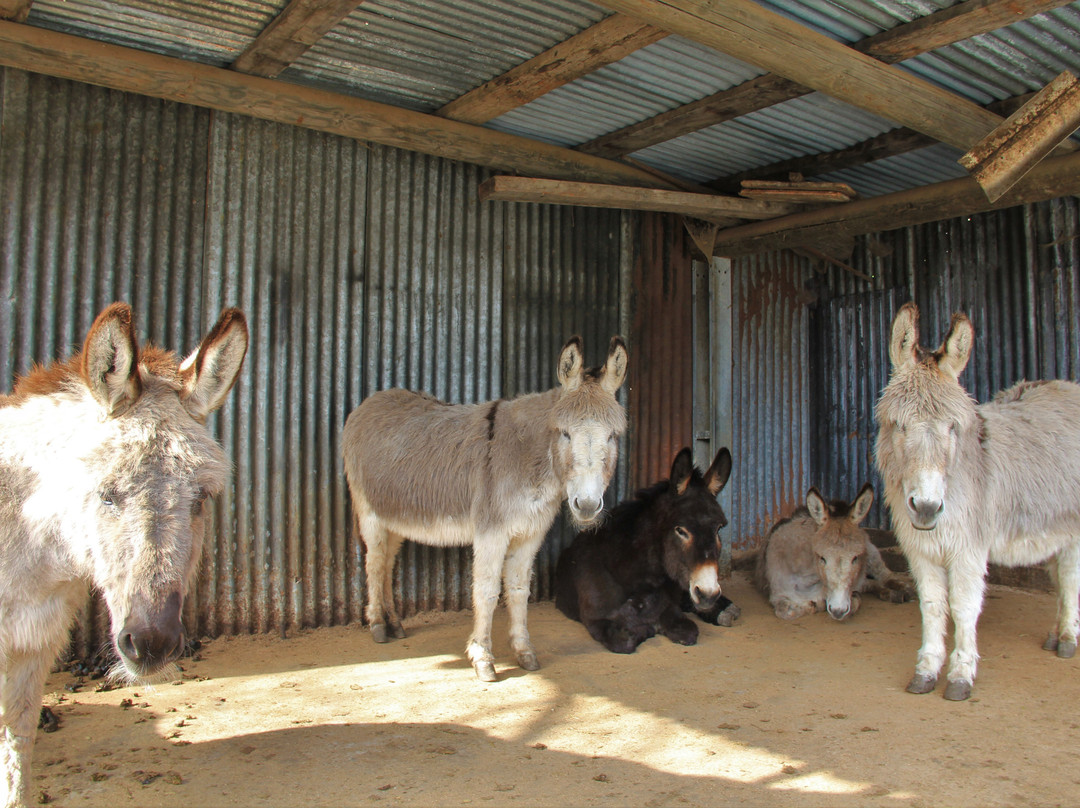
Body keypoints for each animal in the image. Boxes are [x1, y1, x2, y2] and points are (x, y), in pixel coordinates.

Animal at [342, 336, 628, 682]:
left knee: (387, 561)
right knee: (373, 562)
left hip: (395, 517)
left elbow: (518, 590)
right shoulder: (492, 532)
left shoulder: (530, 534)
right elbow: (487, 591)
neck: (530, 457)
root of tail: (370, 402)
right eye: (565, 433)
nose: (586, 505)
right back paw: (377, 625)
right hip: (369, 512)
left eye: (612, 437)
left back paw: (395, 623)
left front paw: (524, 651)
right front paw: (482, 658)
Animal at [554, 446, 740, 654]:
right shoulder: (596, 620)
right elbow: (625, 639)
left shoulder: (672, 609)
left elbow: (687, 630)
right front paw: (645, 627)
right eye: (681, 530)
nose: (708, 594)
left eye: (719, 528)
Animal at [754, 484, 914, 621]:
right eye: (822, 558)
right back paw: (891, 594)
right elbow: (788, 612)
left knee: (885, 575)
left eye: (855, 558)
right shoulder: (778, 595)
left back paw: (903, 589)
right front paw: (814, 605)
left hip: (872, 554)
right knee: (870, 583)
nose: (838, 611)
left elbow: (853, 603)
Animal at [875, 302, 1080, 700]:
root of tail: (1066, 386)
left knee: (1071, 576)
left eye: (953, 427)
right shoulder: (920, 550)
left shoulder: (969, 548)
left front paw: (960, 675)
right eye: (899, 425)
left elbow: (964, 606)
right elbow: (932, 606)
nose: (926, 507)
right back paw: (1055, 635)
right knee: (1060, 574)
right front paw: (926, 671)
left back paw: (1067, 638)